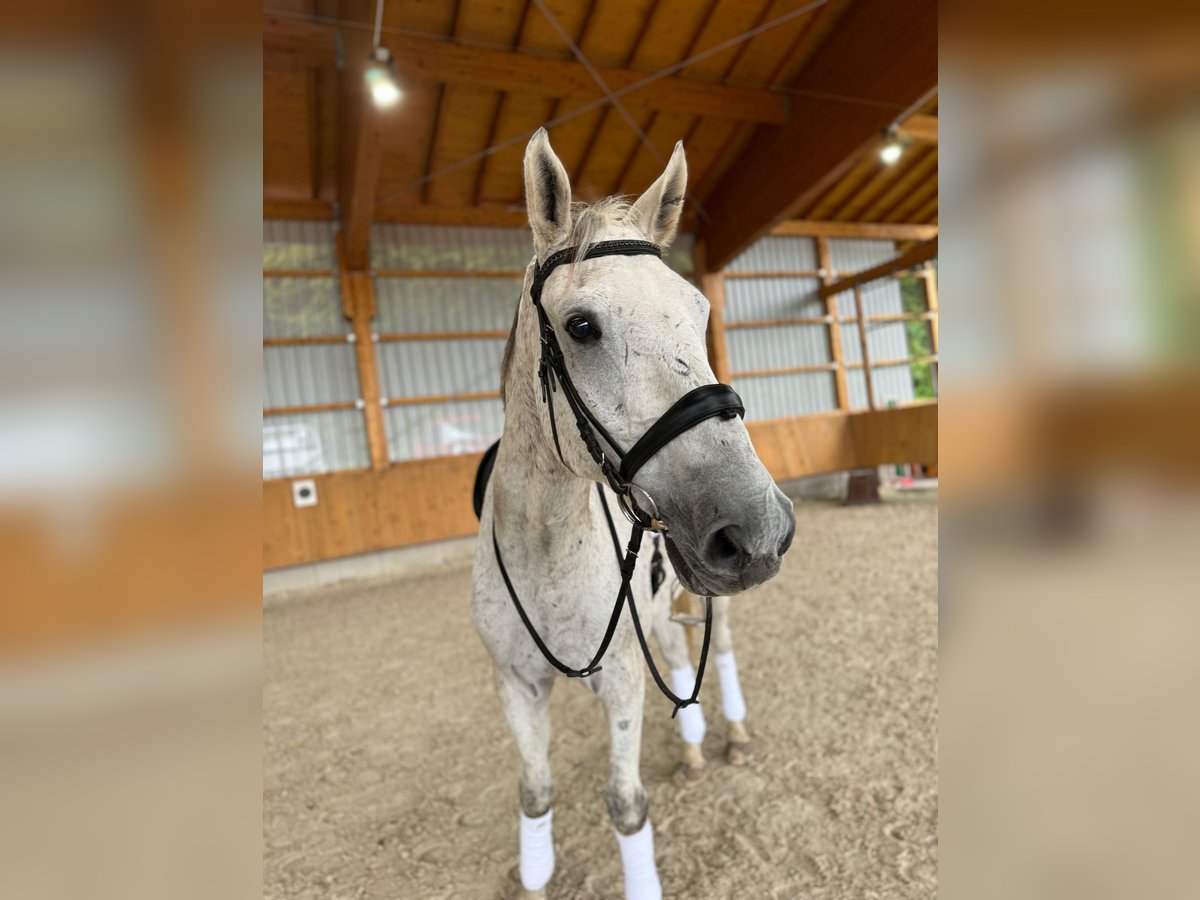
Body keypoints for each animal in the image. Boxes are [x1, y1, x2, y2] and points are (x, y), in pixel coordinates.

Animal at [470, 130, 796, 897]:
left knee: (719, 648)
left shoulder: (618, 678)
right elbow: (535, 791)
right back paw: (694, 748)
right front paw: (535, 876)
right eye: (581, 326)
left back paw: (732, 736)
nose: (758, 531)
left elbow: (625, 803)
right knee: (678, 651)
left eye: (701, 314)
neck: (544, 550)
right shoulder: (516, 685)